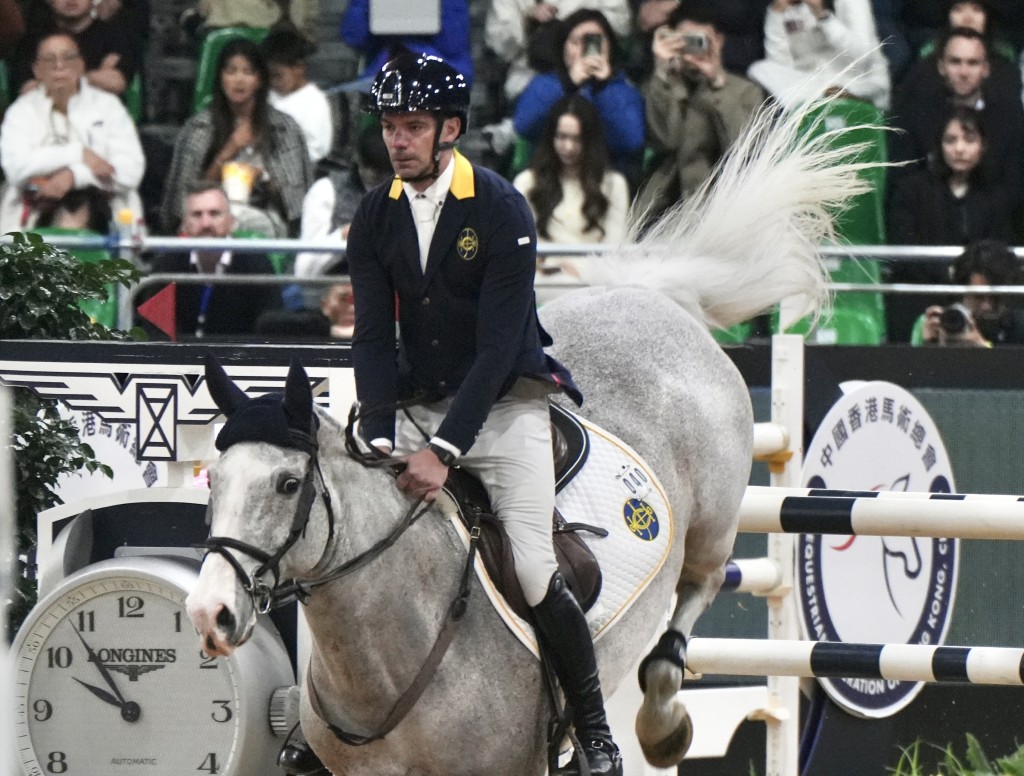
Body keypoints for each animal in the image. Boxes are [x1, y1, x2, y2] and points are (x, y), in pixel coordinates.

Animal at [188, 98, 876, 776]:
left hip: (710, 525)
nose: (209, 612)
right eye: (212, 483)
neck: (386, 651)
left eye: (288, 483)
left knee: (695, 593)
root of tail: (654, 299)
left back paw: (658, 725)